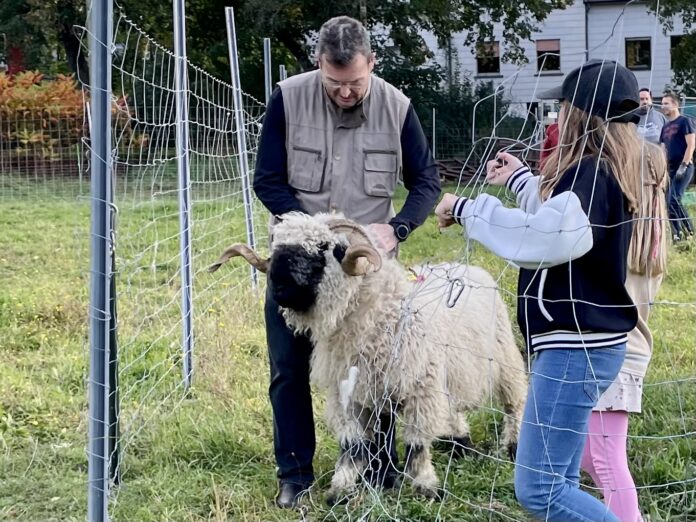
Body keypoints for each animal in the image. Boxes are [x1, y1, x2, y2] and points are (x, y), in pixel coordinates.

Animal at [211, 211, 528, 500]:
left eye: (325, 247)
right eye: (277, 245)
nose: (279, 287)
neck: (381, 313)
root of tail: (466, 267)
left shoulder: (422, 388)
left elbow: (416, 444)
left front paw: (426, 487)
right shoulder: (348, 393)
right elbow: (351, 444)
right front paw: (341, 489)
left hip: (504, 357)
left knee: (515, 401)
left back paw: (512, 446)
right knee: (454, 409)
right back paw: (459, 442)